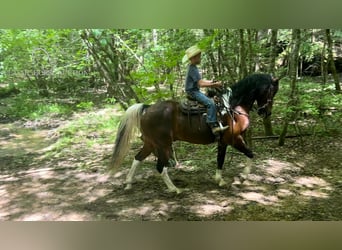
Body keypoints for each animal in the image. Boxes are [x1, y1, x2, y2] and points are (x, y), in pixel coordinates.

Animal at [109, 73, 278, 194]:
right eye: (271, 91)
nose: (266, 112)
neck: (232, 107)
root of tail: (147, 108)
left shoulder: (223, 141)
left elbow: (220, 159)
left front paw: (220, 179)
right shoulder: (234, 139)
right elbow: (250, 153)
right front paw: (243, 176)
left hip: (151, 143)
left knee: (138, 158)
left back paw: (128, 183)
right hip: (163, 145)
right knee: (160, 167)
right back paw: (174, 189)